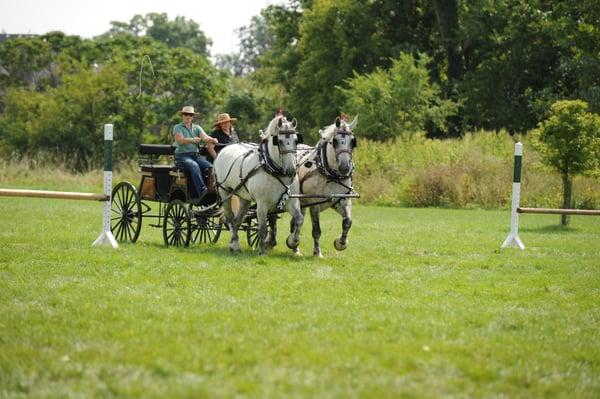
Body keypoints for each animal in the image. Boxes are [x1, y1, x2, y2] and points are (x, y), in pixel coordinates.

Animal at [212, 115, 304, 256]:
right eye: (279, 141)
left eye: (296, 140)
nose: (290, 171)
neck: (273, 170)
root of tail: (224, 149)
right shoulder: (262, 204)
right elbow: (262, 228)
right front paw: (262, 251)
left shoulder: (291, 202)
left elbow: (299, 220)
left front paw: (293, 242)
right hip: (225, 193)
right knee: (230, 218)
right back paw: (235, 243)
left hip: (244, 198)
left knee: (238, 220)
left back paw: (233, 244)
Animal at [290, 117, 356, 258]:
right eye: (335, 141)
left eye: (353, 142)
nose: (344, 167)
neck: (331, 175)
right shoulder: (314, 204)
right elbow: (316, 230)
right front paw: (317, 252)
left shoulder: (343, 201)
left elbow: (347, 222)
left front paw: (341, 243)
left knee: (296, 222)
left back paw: (295, 248)